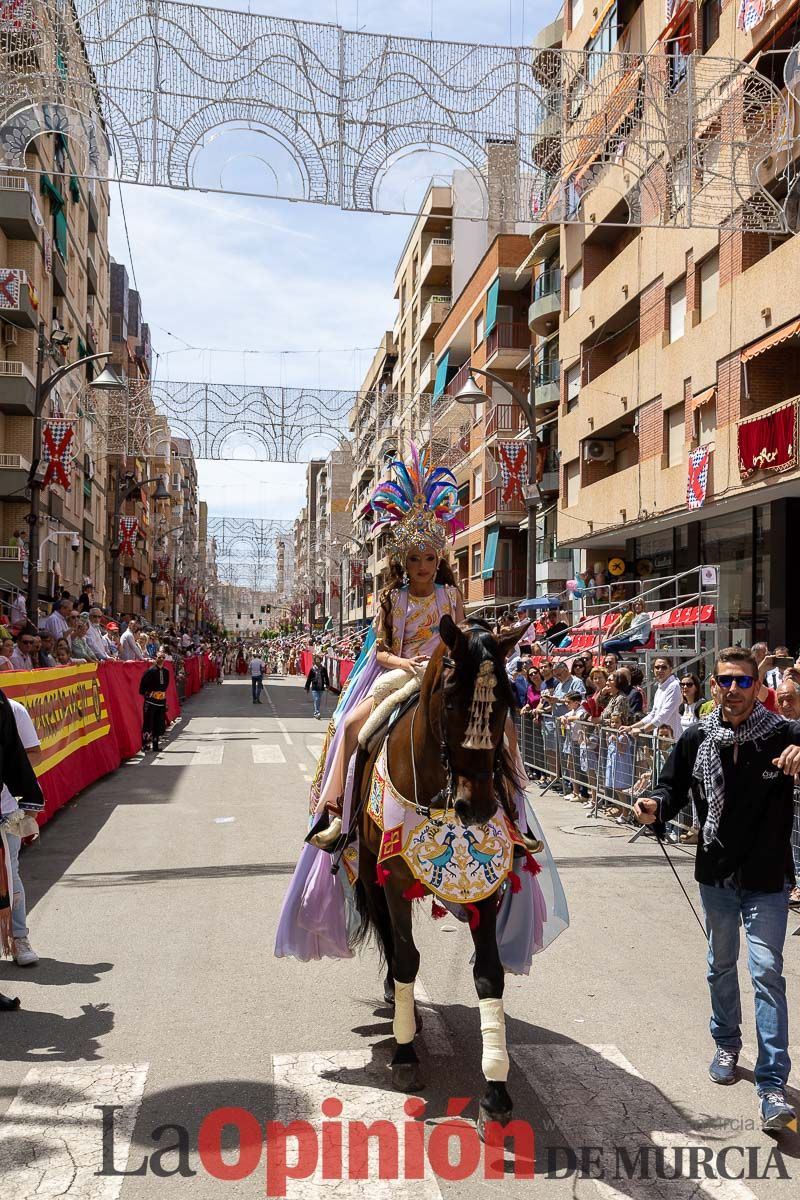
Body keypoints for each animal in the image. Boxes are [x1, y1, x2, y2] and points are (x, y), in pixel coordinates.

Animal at [352, 619, 525, 1132]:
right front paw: (406, 1055)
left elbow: (490, 974)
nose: (479, 806)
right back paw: (399, 1006)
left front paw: (496, 1090)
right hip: (369, 871)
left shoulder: (486, 885)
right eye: (450, 700)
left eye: (506, 702)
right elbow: (407, 958)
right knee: (391, 940)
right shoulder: (390, 875)